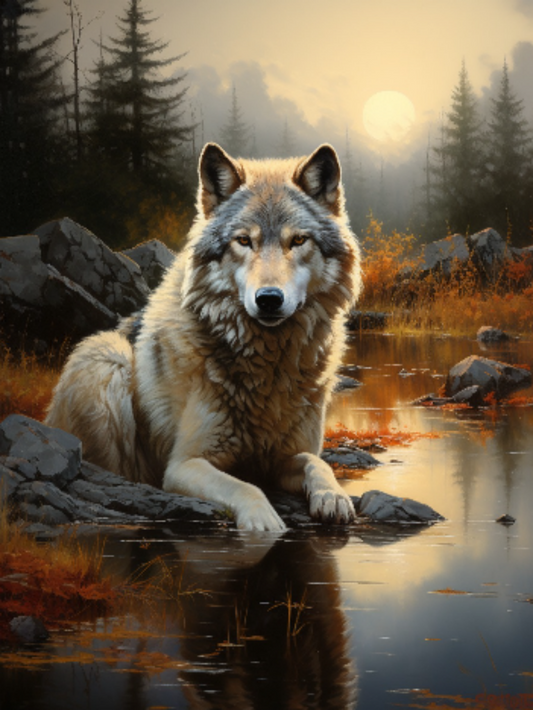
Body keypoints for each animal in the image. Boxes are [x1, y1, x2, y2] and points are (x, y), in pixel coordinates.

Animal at [45, 142, 362, 531]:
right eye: (244, 241)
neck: (268, 366)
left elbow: (316, 463)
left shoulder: (284, 457)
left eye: (298, 240)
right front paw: (265, 525)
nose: (269, 299)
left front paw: (333, 496)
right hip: (106, 356)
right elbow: (246, 488)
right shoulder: (184, 466)